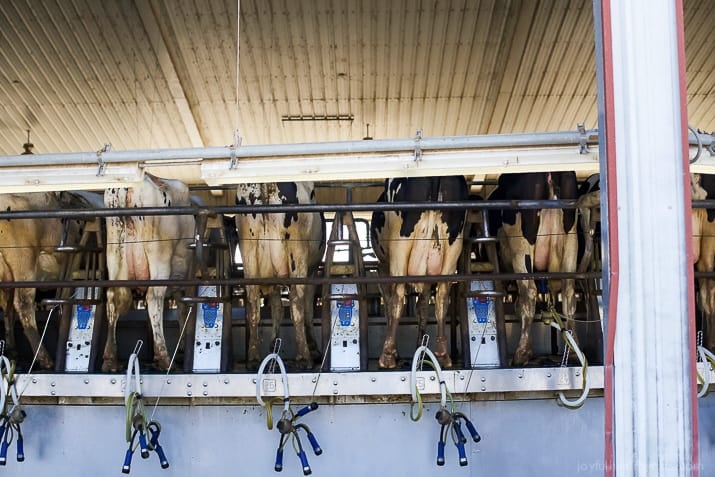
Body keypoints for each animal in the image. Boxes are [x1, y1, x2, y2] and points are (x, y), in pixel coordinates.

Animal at [235, 181, 324, 368]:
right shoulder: (313, 271)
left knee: (253, 303)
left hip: (248, 248)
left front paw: (273, 344)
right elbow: (308, 308)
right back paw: (304, 357)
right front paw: (313, 347)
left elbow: (276, 307)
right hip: (297, 251)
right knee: (297, 301)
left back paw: (253, 357)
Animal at [490, 171, 580, 364]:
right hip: (571, 239)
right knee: (569, 292)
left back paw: (522, 353)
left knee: (529, 291)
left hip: (521, 243)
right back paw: (573, 350)